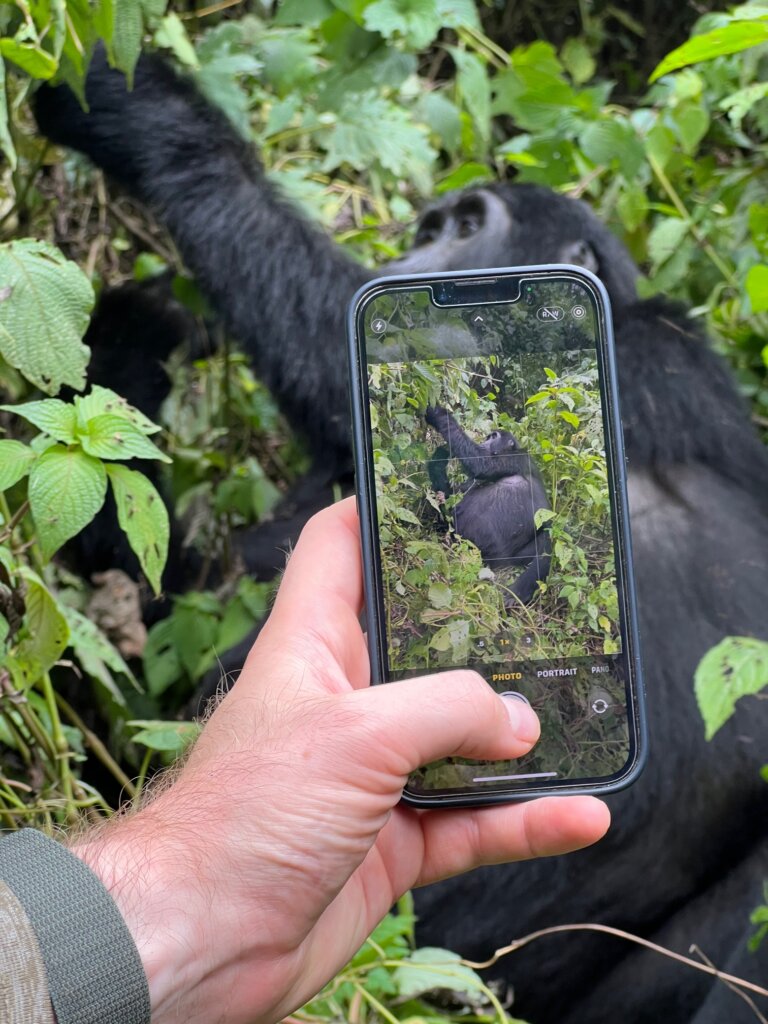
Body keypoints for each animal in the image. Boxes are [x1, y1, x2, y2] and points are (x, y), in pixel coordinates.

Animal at [428, 403, 552, 602]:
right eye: (488, 436)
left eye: (494, 437)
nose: (484, 441)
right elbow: (451, 498)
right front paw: (438, 459)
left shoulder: (514, 458)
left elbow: (482, 463)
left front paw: (438, 414)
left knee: (546, 542)